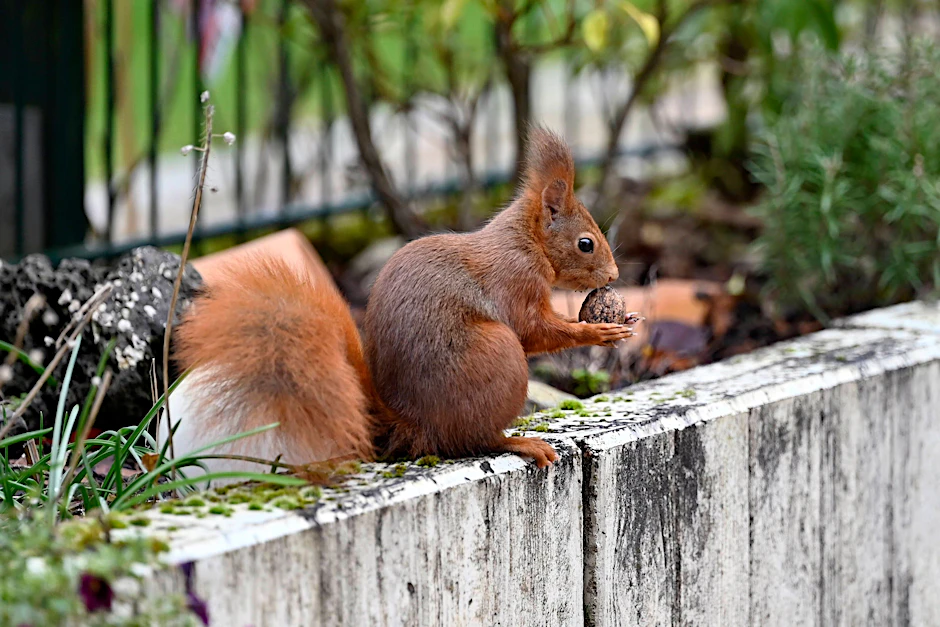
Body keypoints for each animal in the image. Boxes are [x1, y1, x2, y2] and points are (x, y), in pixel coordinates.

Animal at [160, 126, 635, 477]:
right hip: (498, 356)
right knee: (473, 440)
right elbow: (535, 330)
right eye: (586, 243)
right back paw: (520, 442)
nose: (614, 276)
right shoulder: (515, 282)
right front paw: (600, 330)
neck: (526, 242)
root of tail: (413, 424)